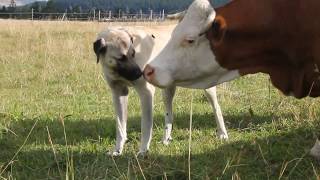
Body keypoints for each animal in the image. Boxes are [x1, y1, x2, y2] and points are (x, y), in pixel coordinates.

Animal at [92, 26, 228, 156]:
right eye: (120, 58)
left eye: (133, 54)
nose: (140, 73)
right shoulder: (119, 94)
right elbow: (120, 126)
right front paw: (118, 150)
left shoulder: (146, 94)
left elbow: (146, 126)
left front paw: (143, 150)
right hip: (167, 91)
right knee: (169, 115)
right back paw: (166, 138)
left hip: (207, 86)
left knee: (217, 108)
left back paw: (222, 133)